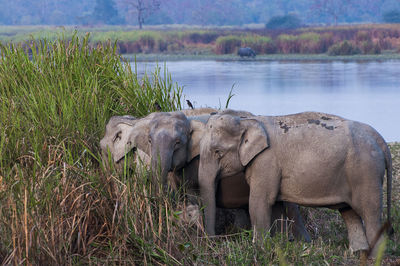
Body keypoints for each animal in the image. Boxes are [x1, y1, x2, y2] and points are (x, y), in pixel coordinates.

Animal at [198, 110, 392, 254]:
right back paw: (358, 253)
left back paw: (375, 257)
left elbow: (258, 203)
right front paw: (279, 245)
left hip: (366, 172)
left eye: (218, 152)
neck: (248, 120)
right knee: (349, 212)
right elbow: (275, 205)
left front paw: (259, 249)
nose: (214, 243)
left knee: (370, 214)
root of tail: (381, 139)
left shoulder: (266, 162)